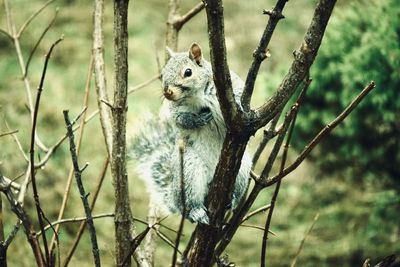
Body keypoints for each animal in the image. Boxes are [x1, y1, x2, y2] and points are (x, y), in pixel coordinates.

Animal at [130, 43, 250, 224]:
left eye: (188, 72)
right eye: (163, 73)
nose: (167, 92)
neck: (196, 95)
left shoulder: (232, 87)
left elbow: (240, 95)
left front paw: (240, 105)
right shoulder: (175, 110)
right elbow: (181, 120)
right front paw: (198, 120)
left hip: (242, 170)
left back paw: (232, 200)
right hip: (188, 170)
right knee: (190, 203)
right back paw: (195, 212)